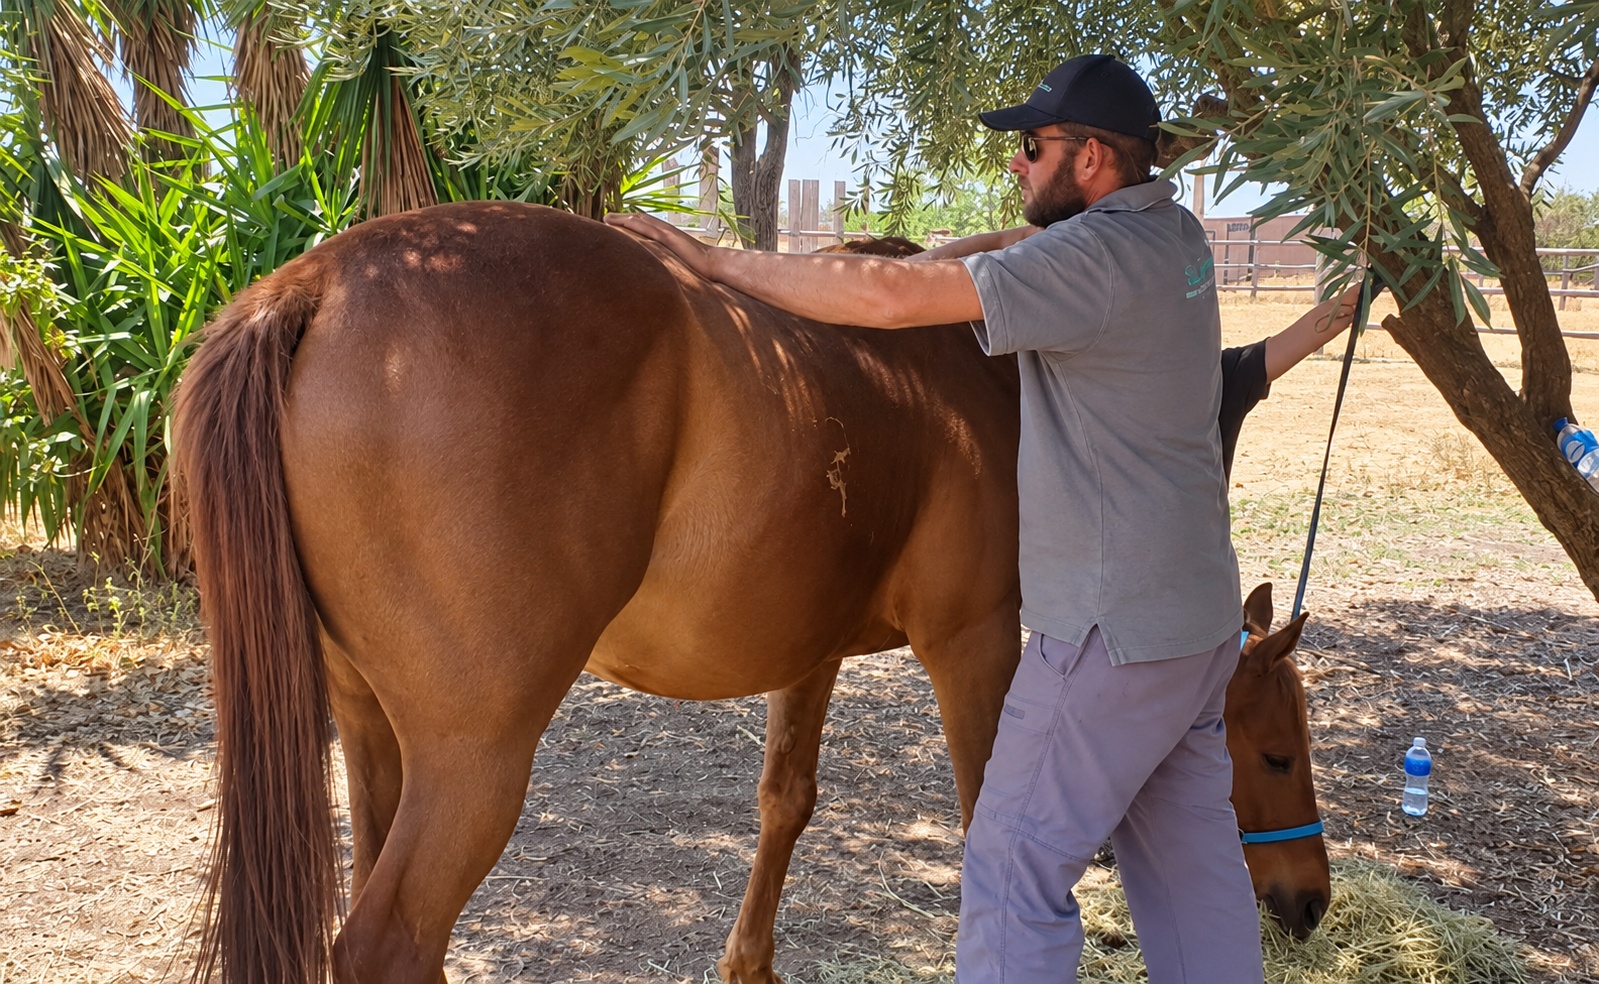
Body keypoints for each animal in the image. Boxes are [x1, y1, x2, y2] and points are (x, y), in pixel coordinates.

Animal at [173, 201, 1325, 984]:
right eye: (1276, 753)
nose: (1308, 903)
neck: (976, 364)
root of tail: (314, 282)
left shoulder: (807, 651)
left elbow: (785, 802)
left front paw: (750, 961)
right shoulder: (975, 643)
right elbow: (980, 824)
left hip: (370, 733)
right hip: (472, 761)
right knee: (389, 941)